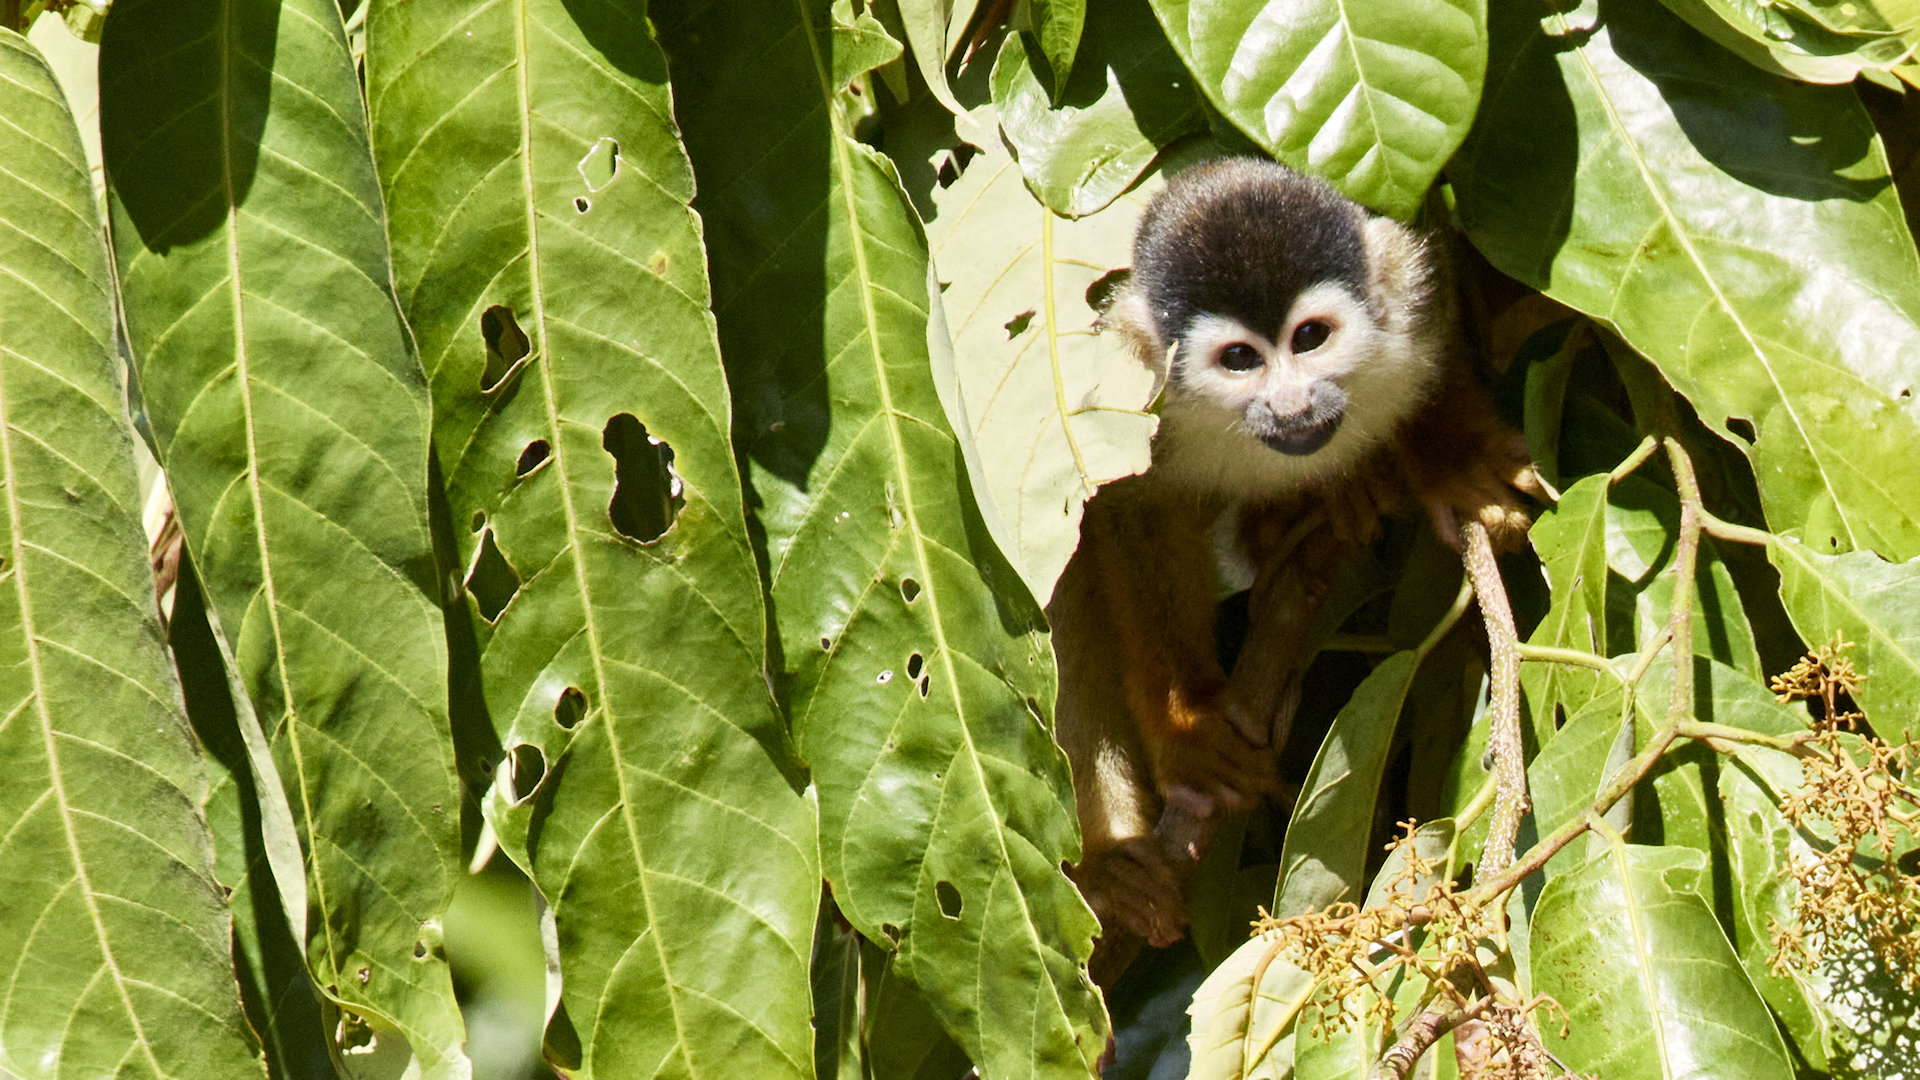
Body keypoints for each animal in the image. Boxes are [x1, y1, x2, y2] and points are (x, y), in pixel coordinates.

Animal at [1052, 155, 1528, 945]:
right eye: (1241, 359)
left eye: (1309, 339)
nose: (1293, 405)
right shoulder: (1144, 411)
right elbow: (1128, 510)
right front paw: (1186, 721)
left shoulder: (1413, 299)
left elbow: (1440, 328)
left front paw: (1452, 456)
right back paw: (1107, 867)